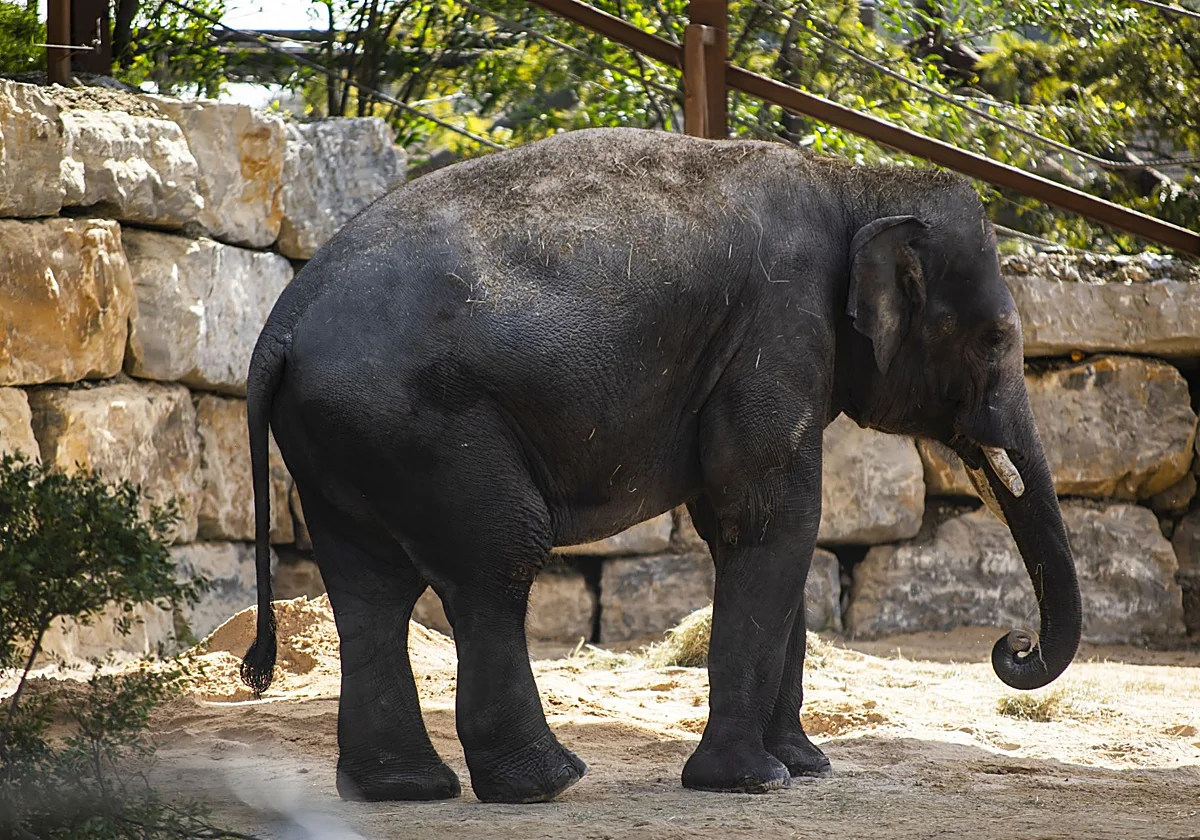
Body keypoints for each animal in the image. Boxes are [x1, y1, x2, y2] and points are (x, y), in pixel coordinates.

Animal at [239, 127, 1081, 804]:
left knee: (369, 588)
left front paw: (804, 767)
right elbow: (772, 517)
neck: (856, 181)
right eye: (995, 339)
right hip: (422, 425)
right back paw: (547, 785)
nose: (1012, 646)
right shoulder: (779, 327)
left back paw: (403, 790)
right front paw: (751, 781)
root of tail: (280, 324)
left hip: (347, 438)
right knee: (497, 558)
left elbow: (753, 528)